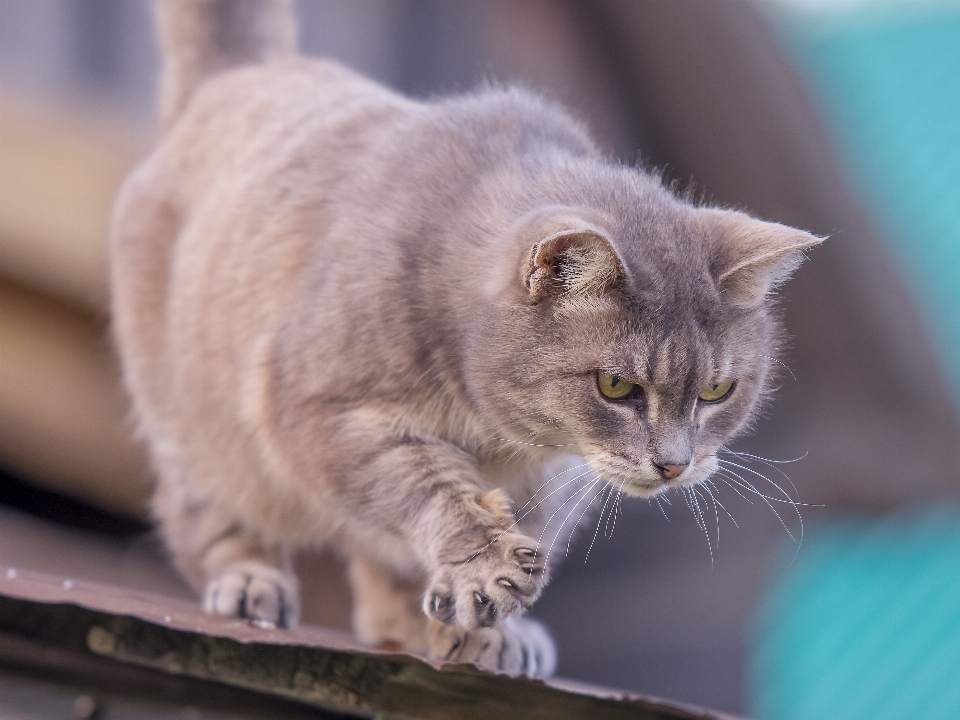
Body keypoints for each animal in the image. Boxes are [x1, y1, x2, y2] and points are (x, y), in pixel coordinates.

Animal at [109, 0, 820, 676]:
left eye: (718, 391)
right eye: (616, 385)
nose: (674, 464)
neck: (499, 433)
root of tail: (241, 74)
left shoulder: (555, 481)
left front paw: (482, 628)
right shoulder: (321, 410)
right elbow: (426, 486)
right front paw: (482, 567)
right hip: (200, 431)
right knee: (206, 512)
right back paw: (248, 581)